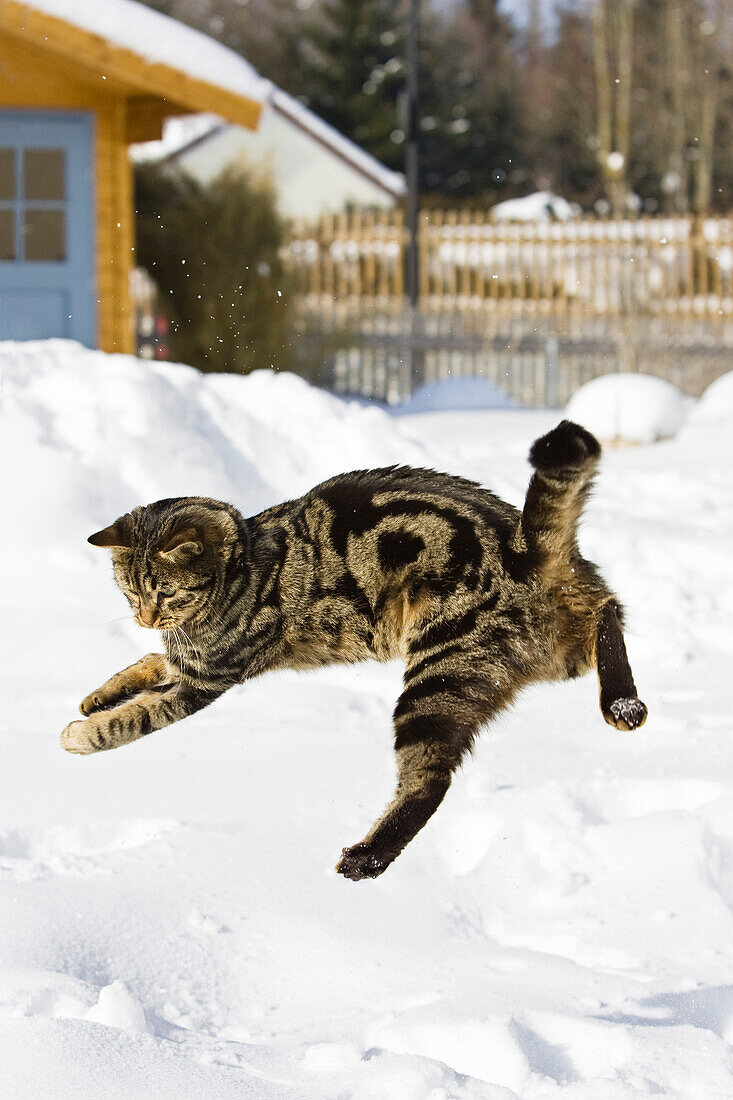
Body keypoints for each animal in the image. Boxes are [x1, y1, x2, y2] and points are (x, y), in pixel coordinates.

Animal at [62, 424, 647, 880]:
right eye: (129, 592)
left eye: (164, 592)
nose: (144, 618)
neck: (246, 559)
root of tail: (527, 545)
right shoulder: (184, 660)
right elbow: (140, 668)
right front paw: (96, 698)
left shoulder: (206, 678)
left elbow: (133, 721)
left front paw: (81, 735)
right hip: (560, 648)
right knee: (608, 611)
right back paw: (622, 704)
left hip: (437, 680)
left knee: (429, 782)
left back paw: (365, 858)